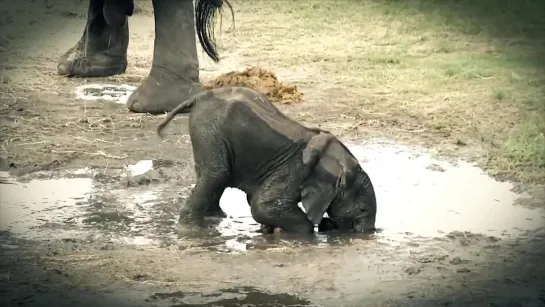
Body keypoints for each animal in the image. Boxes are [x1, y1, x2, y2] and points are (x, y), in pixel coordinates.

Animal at [157, 86, 376, 236]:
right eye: (362, 209)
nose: (367, 233)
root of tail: (199, 97)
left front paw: (269, 231)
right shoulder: (296, 170)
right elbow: (263, 206)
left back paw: (215, 219)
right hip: (209, 130)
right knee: (215, 175)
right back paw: (192, 231)